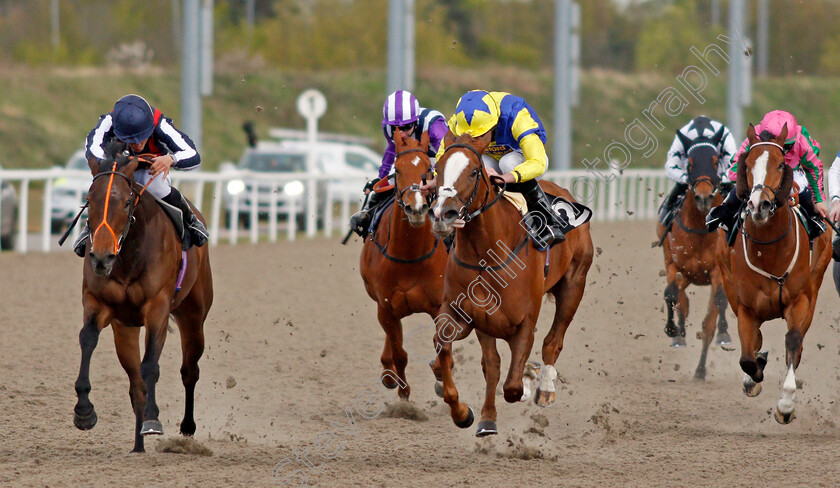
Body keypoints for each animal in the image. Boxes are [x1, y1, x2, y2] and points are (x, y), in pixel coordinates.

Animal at [74, 142, 213, 454]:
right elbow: (87, 339)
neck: (128, 257)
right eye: (89, 200)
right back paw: (138, 446)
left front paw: (153, 420)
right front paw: (84, 410)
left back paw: (187, 430)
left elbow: (151, 365)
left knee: (189, 370)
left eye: (127, 202)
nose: (101, 258)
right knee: (136, 383)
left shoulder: (157, 308)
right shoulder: (98, 303)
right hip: (124, 329)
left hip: (194, 316)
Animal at [358, 131, 450, 400]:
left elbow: (440, 345)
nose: (416, 207)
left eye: (429, 169)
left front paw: (440, 376)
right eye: (397, 170)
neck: (410, 255)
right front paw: (403, 394)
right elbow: (400, 353)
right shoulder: (386, 306)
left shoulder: (438, 305)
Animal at [426, 131, 592, 434]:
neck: (486, 254)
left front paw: (527, 382)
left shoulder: (525, 321)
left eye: (474, 171)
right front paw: (471, 415)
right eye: (437, 168)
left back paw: (545, 388)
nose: (443, 214)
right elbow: (478, 362)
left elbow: (513, 386)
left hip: (574, 284)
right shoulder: (471, 316)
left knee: (553, 341)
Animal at [652, 129, 732, 378]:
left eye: (715, 161)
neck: (700, 228)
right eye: (690, 163)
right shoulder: (674, 265)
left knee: (714, 316)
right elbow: (671, 295)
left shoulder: (717, 271)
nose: (703, 197)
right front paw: (673, 330)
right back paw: (680, 334)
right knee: (681, 299)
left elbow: (716, 308)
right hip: (686, 274)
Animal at [716, 125, 832, 424]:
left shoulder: (800, 300)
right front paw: (753, 375)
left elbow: (793, 339)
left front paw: (786, 405)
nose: (761, 205)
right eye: (746, 164)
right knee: (753, 342)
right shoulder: (745, 307)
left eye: (781, 164)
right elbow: (747, 356)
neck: (770, 251)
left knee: (797, 344)